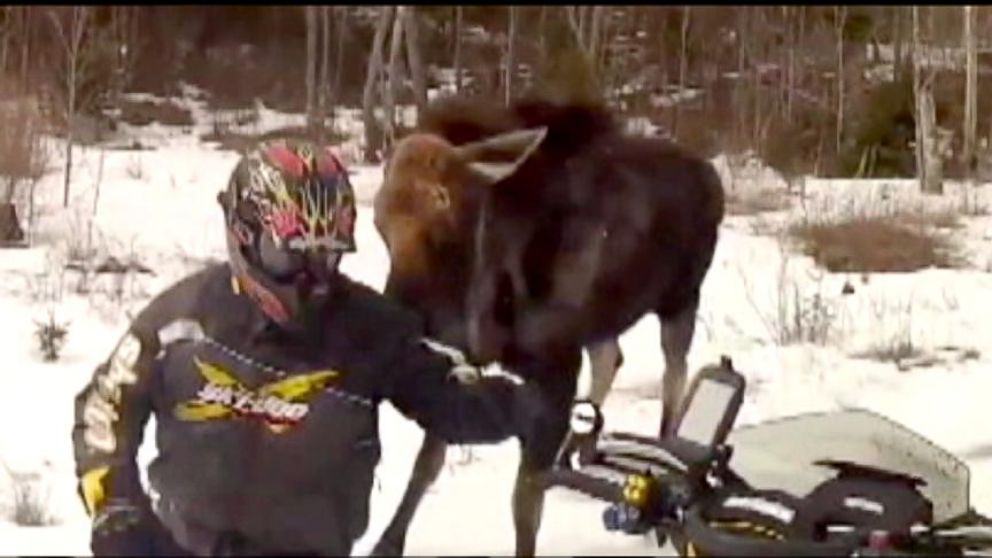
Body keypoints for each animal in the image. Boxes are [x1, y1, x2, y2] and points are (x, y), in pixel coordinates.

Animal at [372, 94, 728, 556]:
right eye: (379, 220)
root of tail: (713, 178)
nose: (401, 309)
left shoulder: (556, 366)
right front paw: (386, 542)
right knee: (611, 357)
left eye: (443, 206)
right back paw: (580, 447)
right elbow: (427, 463)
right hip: (604, 318)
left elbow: (525, 503)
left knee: (675, 372)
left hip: (680, 299)